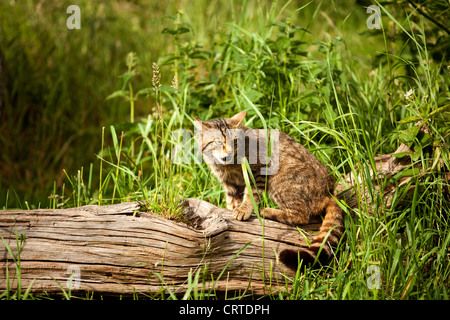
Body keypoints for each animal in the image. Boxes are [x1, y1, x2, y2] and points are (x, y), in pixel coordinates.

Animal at [194, 110, 344, 270]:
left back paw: (266, 211)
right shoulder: (229, 183)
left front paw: (244, 209)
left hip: (280, 182)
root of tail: (330, 191)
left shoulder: (258, 171)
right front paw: (234, 208)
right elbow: (232, 200)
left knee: (301, 216)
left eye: (234, 141)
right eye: (218, 142)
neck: (227, 166)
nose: (228, 153)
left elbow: (251, 194)